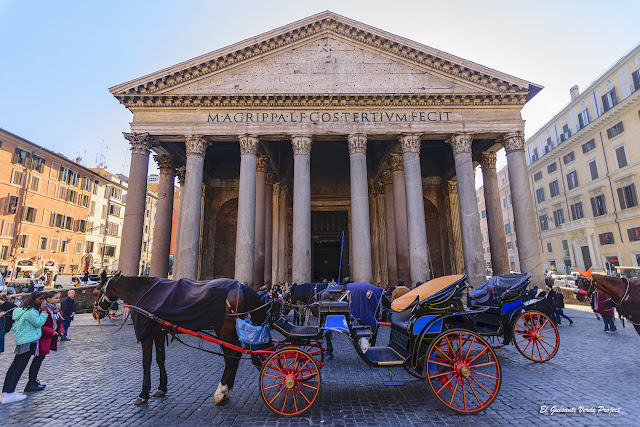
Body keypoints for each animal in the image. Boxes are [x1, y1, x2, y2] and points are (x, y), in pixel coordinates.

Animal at [92, 272, 268, 406]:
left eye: (95, 293)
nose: (95, 314)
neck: (142, 292)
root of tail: (241, 286)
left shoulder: (146, 334)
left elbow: (146, 362)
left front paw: (143, 394)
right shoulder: (158, 332)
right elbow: (160, 358)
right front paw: (161, 388)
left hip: (224, 330)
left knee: (231, 356)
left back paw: (221, 392)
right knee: (237, 354)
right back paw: (227, 391)